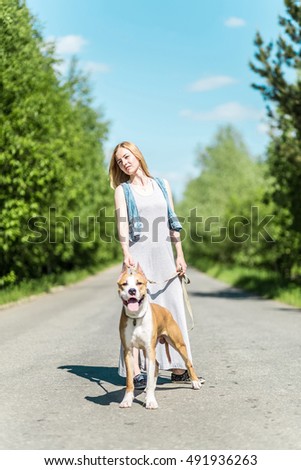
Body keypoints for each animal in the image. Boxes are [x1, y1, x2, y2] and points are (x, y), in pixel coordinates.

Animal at [117, 262, 202, 410]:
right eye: (124, 284)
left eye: (139, 283)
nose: (132, 291)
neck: (136, 318)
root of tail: (165, 310)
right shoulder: (128, 351)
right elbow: (129, 380)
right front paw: (127, 400)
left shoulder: (149, 349)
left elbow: (151, 375)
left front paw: (150, 401)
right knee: (156, 365)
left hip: (178, 343)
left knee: (187, 362)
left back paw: (195, 382)